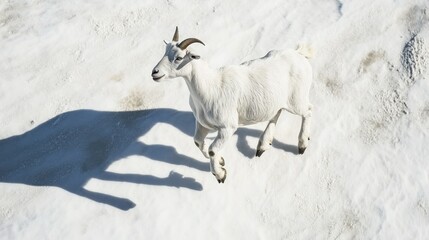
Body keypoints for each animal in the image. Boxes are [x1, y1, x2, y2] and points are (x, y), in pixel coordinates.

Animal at [152, 26, 312, 184]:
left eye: (179, 58)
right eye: (165, 52)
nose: (155, 72)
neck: (211, 87)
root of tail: (299, 54)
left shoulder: (227, 128)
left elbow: (212, 150)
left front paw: (220, 175)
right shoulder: (203, 124)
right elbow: (198, 142)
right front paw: (221, 162)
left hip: (296, 101)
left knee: (308, 111)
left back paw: (302, 144)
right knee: (277, 113)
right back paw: (263, 145)